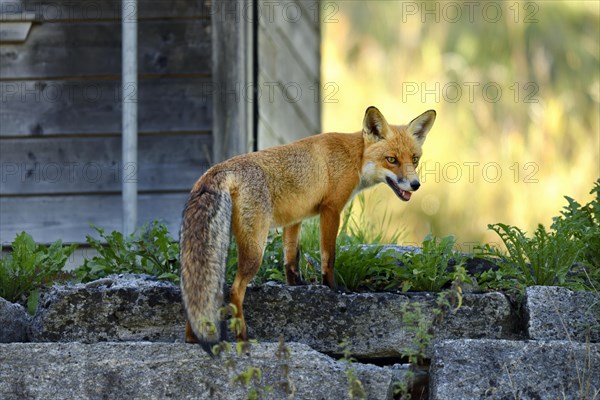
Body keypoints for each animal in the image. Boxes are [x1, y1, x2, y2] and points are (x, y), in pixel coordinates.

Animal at [178, 105, 436, 350]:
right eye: (392, 159)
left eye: (414, 159)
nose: (415, 185)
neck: (355, 157)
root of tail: (217, 170)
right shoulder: (331, 209)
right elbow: (329, 257)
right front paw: (334, 289)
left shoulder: (294, 220)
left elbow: (291, 260)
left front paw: (297, 288)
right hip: (255, 248)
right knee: (234, 291)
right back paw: (243, 338)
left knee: (198, 292)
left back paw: (193, 337)